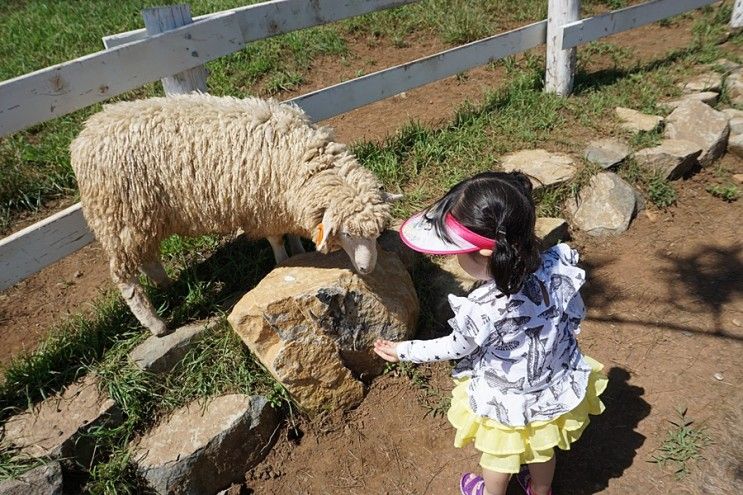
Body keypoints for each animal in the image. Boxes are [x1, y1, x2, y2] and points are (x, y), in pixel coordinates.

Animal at [71, 93, 402, 338]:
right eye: (347, 233)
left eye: (376, 234)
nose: (368, 268)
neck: (304, 159)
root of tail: (84, 136)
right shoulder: (265, 207)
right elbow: (276, 240)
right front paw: (284, 261)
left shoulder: (283, 204)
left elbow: (292, 232)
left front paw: (298, 249)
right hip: (117, 216)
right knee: (124, 277)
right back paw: (155, 324)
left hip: (142, 218)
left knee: (148, 257)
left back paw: (165, 285)